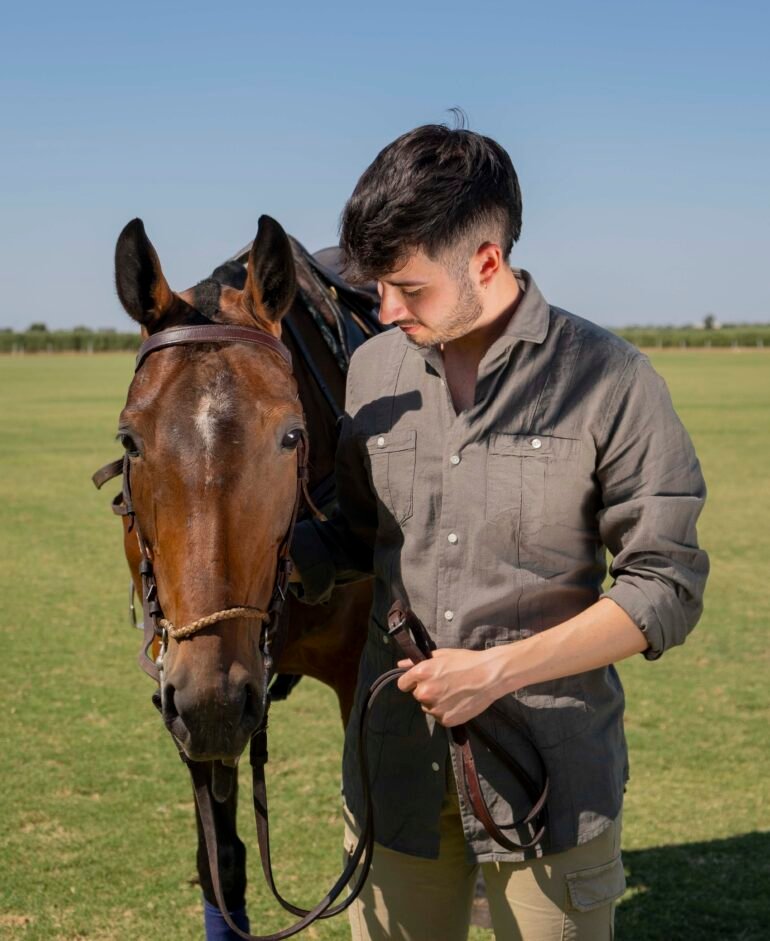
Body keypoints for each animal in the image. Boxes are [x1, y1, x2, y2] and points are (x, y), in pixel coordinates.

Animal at [97, 217, 380, 936]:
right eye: (129, 440)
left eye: (291, 436)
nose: (217, 699)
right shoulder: (181, 684)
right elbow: (221, 863)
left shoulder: (356, 677)